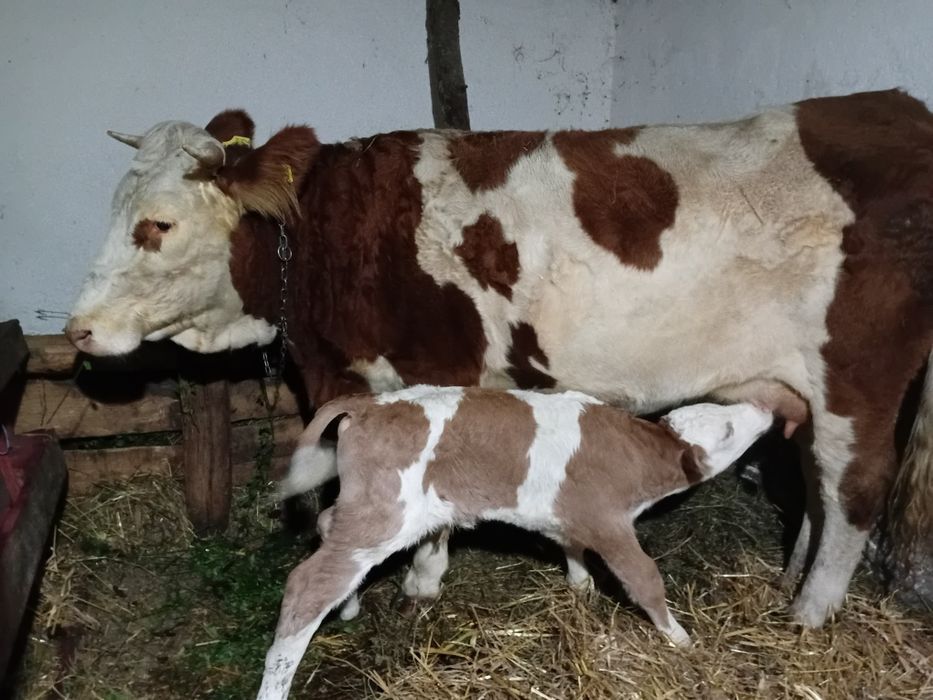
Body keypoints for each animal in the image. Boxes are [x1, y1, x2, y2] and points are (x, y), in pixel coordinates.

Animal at [66, 89, 933, 628]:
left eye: (156, 224)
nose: (79, 329)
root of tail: (890, 108)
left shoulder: (435, 368)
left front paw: (422, 579)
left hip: (857, 384)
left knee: (852, 492)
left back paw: (808, 615)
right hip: (807, 392)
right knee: (815, 490)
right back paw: (790, 579)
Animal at [257, 387, 780, 698]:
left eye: (722, 410)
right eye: (728, 429)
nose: (764, 407)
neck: (638, 456)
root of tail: (372, 404)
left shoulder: (571, 518)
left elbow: (573, 552)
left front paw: (581, 588)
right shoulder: (608, 523)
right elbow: (644, 579)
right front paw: (681, 638)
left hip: (366, 509)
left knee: (327, 527)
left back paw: (348, 604)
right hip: (386, 516)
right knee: (308, 583)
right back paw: (278, 679)